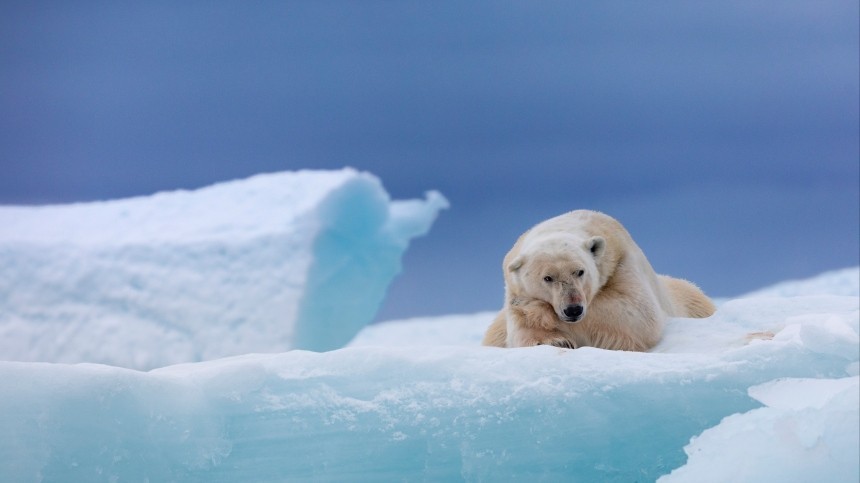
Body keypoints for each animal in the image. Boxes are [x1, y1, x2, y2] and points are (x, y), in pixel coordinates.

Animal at [484, 210, 712, 350]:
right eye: (548, 277)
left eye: (580, 271)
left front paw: (536, 310)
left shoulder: (621, 262)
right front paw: (557, 341)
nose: (573, 309)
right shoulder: (512, 288)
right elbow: (518, 333)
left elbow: (638, 313)